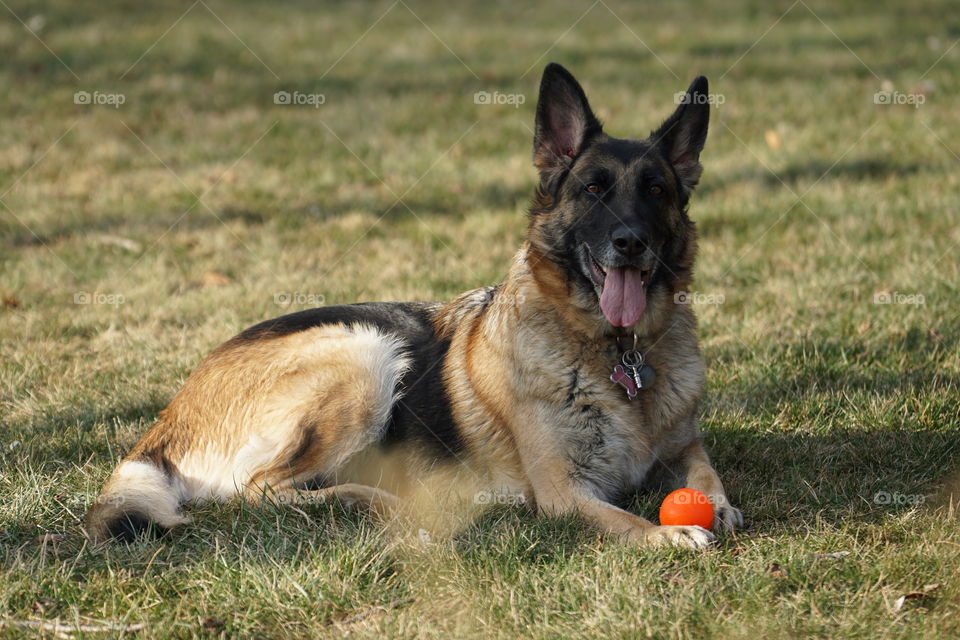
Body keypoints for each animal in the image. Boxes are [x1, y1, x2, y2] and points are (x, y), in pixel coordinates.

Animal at [84, 62, 744, 548]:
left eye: (655, 190)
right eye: (593, 191)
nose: (629, 243)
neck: (616, 354)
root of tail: (172, 412)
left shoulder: (683, 447)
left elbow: (706, 473)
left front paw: (717, 505)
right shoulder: (563, 495)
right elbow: (626, 521)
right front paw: (670, 534)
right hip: (362, 354)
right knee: (259, 488)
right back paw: (373, 502)